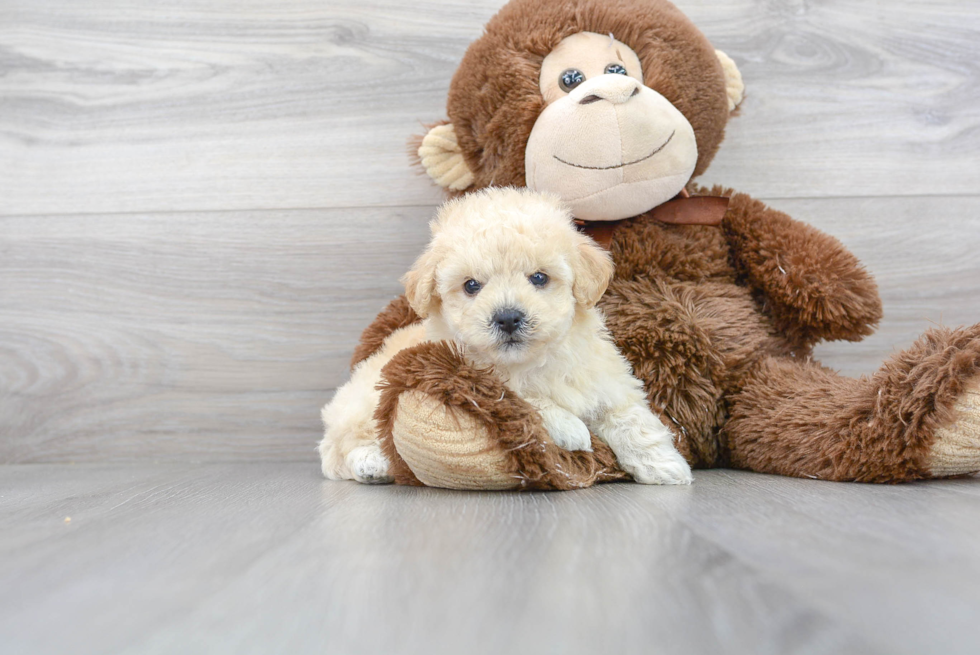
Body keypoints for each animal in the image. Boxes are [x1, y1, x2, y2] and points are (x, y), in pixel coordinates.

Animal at [318, 187, 692, 484]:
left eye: (539, 278)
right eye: (471, 285)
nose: (508, 317)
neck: (533, 361)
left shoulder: (606, 380)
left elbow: (633, 419)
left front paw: (664, 465)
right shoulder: (474, 375)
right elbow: (525, 399)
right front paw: (572, 429)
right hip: (365, 399)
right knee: (337, 446)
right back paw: (372, 462)